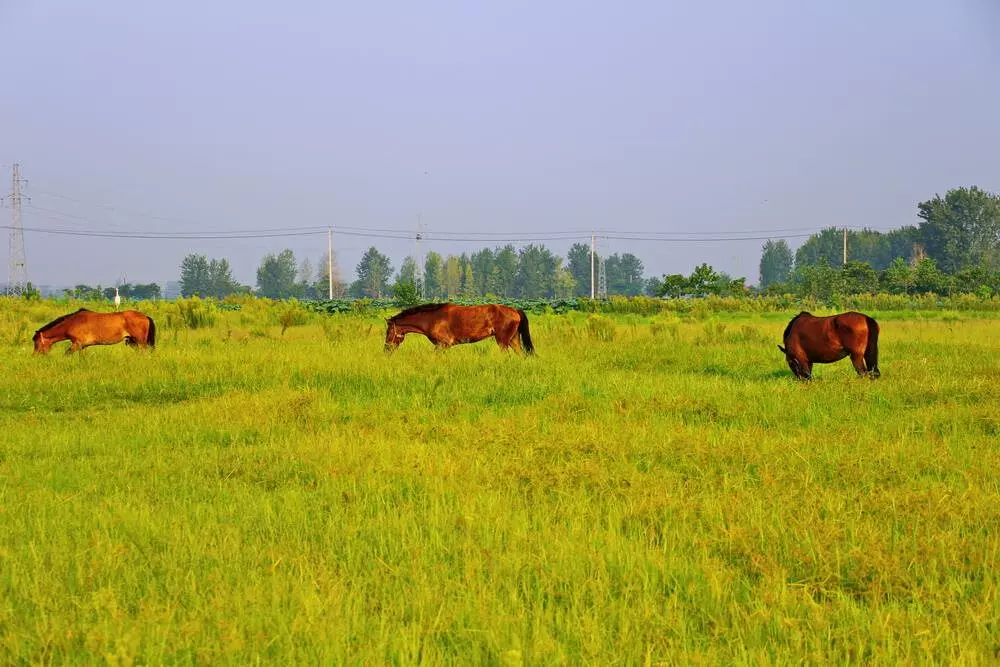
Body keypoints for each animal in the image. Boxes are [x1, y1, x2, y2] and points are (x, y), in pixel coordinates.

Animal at [384, 304, 540, 354]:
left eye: (388, 332)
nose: (386, 349)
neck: (432, 318)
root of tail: (515, 310)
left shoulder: (442, 345)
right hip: (513, 340)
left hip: (502, 341)